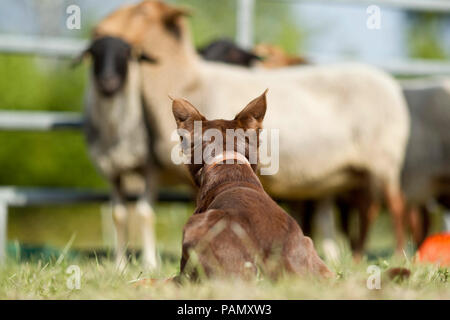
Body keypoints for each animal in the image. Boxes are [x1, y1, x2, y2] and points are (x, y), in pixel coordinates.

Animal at [78, 35, 158, 270]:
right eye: (95, 53)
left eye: (126, 53)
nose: (108, 81)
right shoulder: (113, 172)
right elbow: (118, 215)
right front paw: (120, 264)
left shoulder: (149, 168)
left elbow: (144, 213)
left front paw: (150, 263)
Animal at [96, 0, 412, 255]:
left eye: (142, 11)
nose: (100, 29)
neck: (191, 78)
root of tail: (390, 84)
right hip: (353, 172)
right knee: (368, 209)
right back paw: (357, 255)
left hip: (383, 158)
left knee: (396, 205)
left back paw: (397, 254)